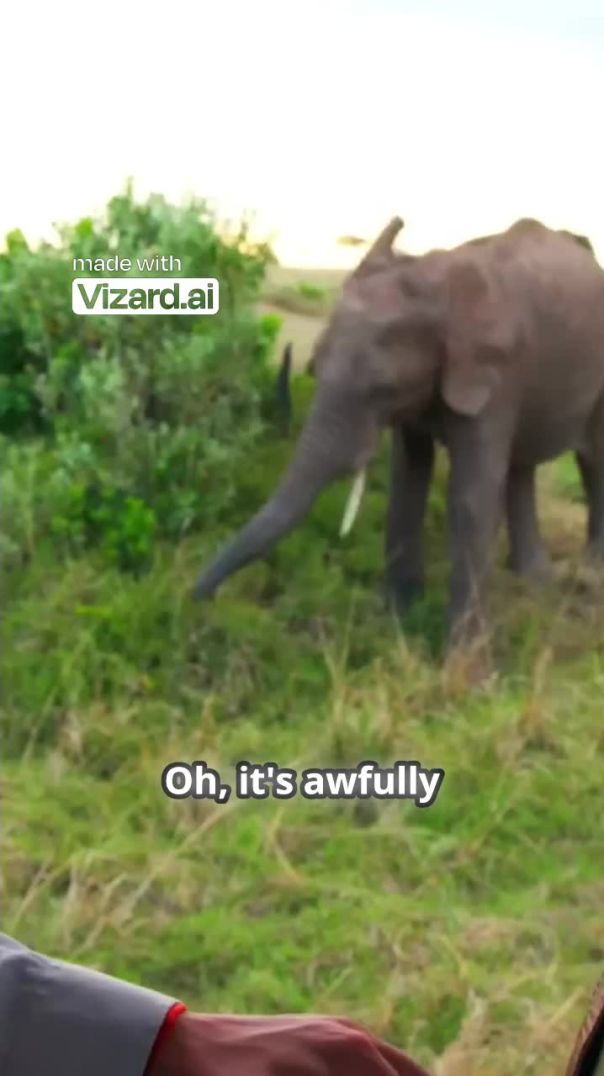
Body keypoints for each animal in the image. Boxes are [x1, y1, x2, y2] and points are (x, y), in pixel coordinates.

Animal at [191, 214, 602, 641]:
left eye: (381, 388)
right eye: (315, 367)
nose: (202, 601)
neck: (435, 279)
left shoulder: (497, 373)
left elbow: (470, 497)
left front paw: (462, 657)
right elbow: (408, 478)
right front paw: (399, 619)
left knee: (592, 457)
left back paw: (588, 574)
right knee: (522, 467)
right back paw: (535, 582)